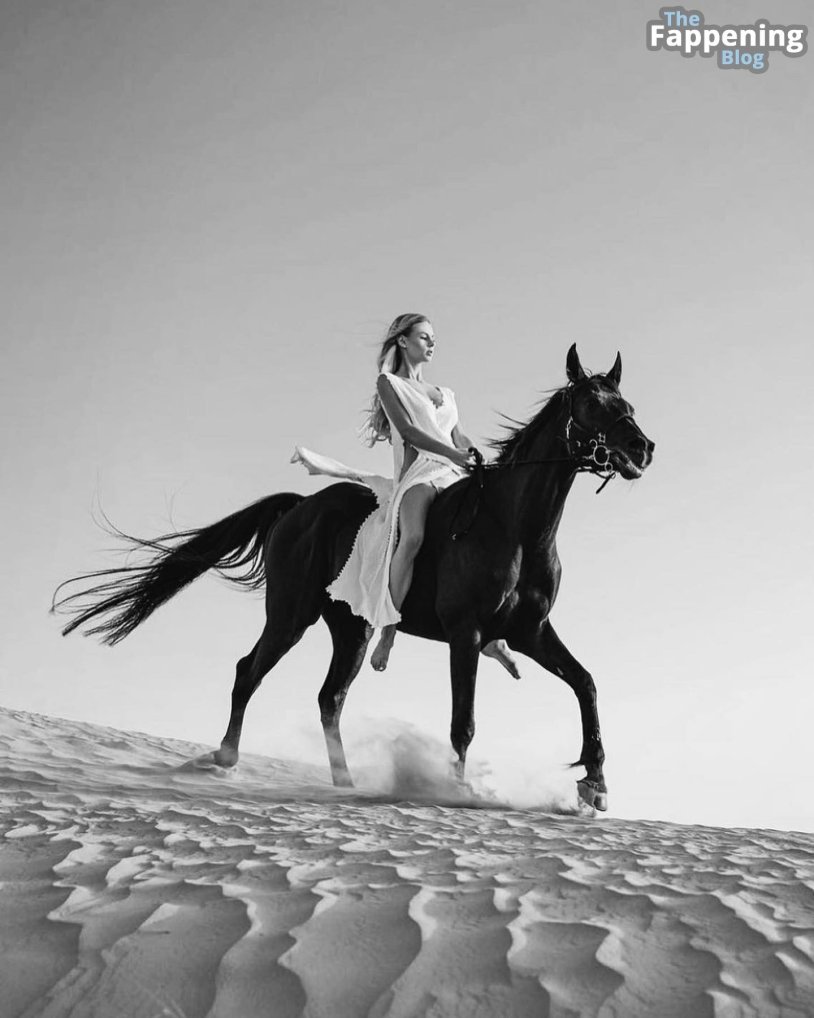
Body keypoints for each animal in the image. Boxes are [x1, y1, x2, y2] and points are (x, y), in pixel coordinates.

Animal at [52, 344, 654, 810]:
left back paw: (344, 781)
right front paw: (459, 792)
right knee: (251, 671)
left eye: (626, 404)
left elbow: (586, 683)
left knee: (330, 697)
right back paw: (226, 757)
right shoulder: (467, 634)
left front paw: (595, 784)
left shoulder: (530, 633)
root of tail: (299, 506)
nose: (641, 448)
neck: (514, 526)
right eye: (591, 404)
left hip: (352, 628)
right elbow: (463, 720)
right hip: (290, 615)